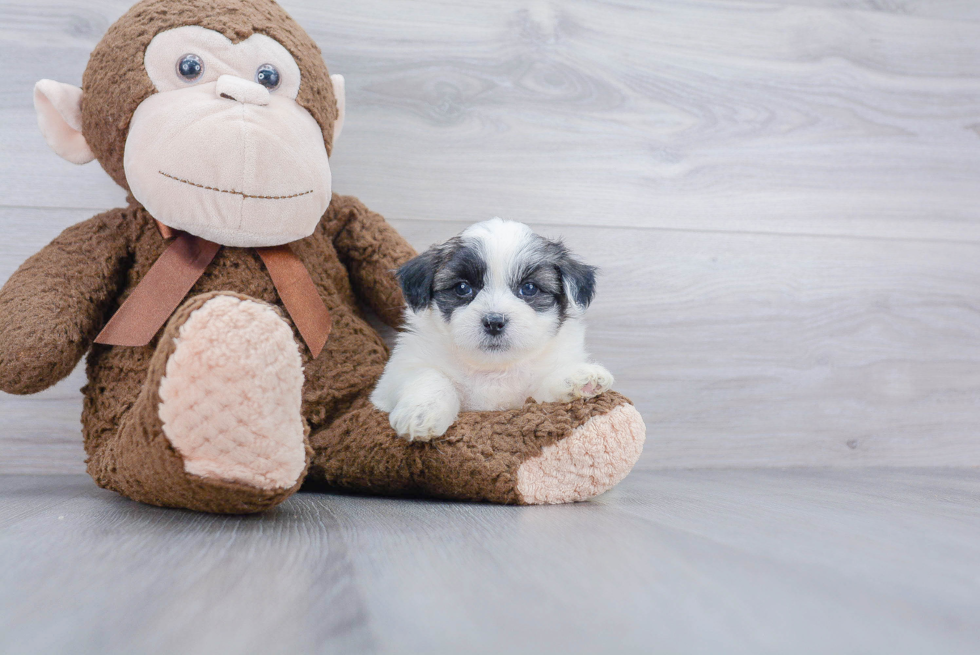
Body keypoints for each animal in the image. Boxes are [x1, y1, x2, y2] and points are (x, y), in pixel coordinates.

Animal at [370, 219, 612, 440]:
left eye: (529, 288)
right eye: (462, 288)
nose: (494, 322)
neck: (493, 369)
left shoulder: (524, 401)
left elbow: (540, 391)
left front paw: (578, 378)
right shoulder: (394, 377)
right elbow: (430, 376)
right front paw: (422, 413)